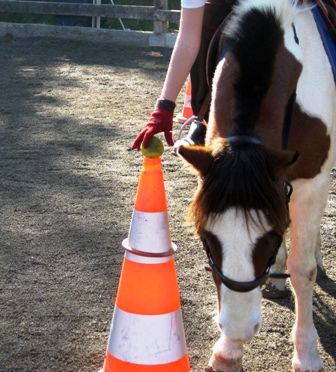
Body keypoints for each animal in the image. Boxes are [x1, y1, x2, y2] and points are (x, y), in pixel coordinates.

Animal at [177, 0, 334, 372]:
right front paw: (228, 351)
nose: (239, 329)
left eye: (271, 236)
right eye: (206, 238)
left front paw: (306, 354)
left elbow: (303, 269)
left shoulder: (313, 182)